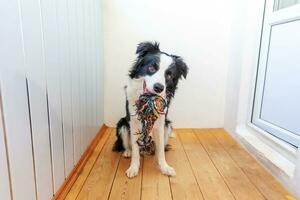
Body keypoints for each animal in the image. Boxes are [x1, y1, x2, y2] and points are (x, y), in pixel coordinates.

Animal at [112, 41, 188, 177]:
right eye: (152, 68)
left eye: (169, 75)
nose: (159, 87)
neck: (148, 102)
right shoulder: (134, 123)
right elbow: (135, 150)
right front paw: (133, 168)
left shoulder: (161, 123)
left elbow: (161, 151)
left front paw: (164, 167)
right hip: (122, 124)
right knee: (127, 145)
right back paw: (127, 152)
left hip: (168, 125)